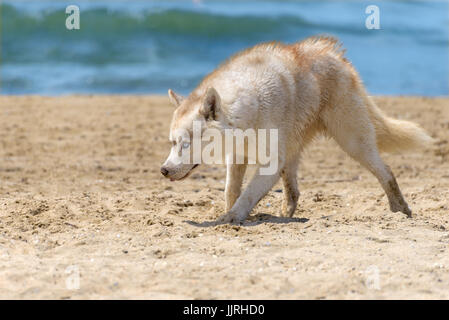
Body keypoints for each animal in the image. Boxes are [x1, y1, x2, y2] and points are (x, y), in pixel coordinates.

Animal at [160, 36, 430, 224]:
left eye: (186, 143)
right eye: (172, 143)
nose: (164, 170)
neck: (247, 107)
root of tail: (338, 57)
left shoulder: (270, 162)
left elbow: (247, 195)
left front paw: (232, 218)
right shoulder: (237, 157)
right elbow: (231, 190)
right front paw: (230, 212)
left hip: (353, 142)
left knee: (386, 172)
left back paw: (400, 210)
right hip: (294, 152)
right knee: (293, 192)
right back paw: (285, 216)